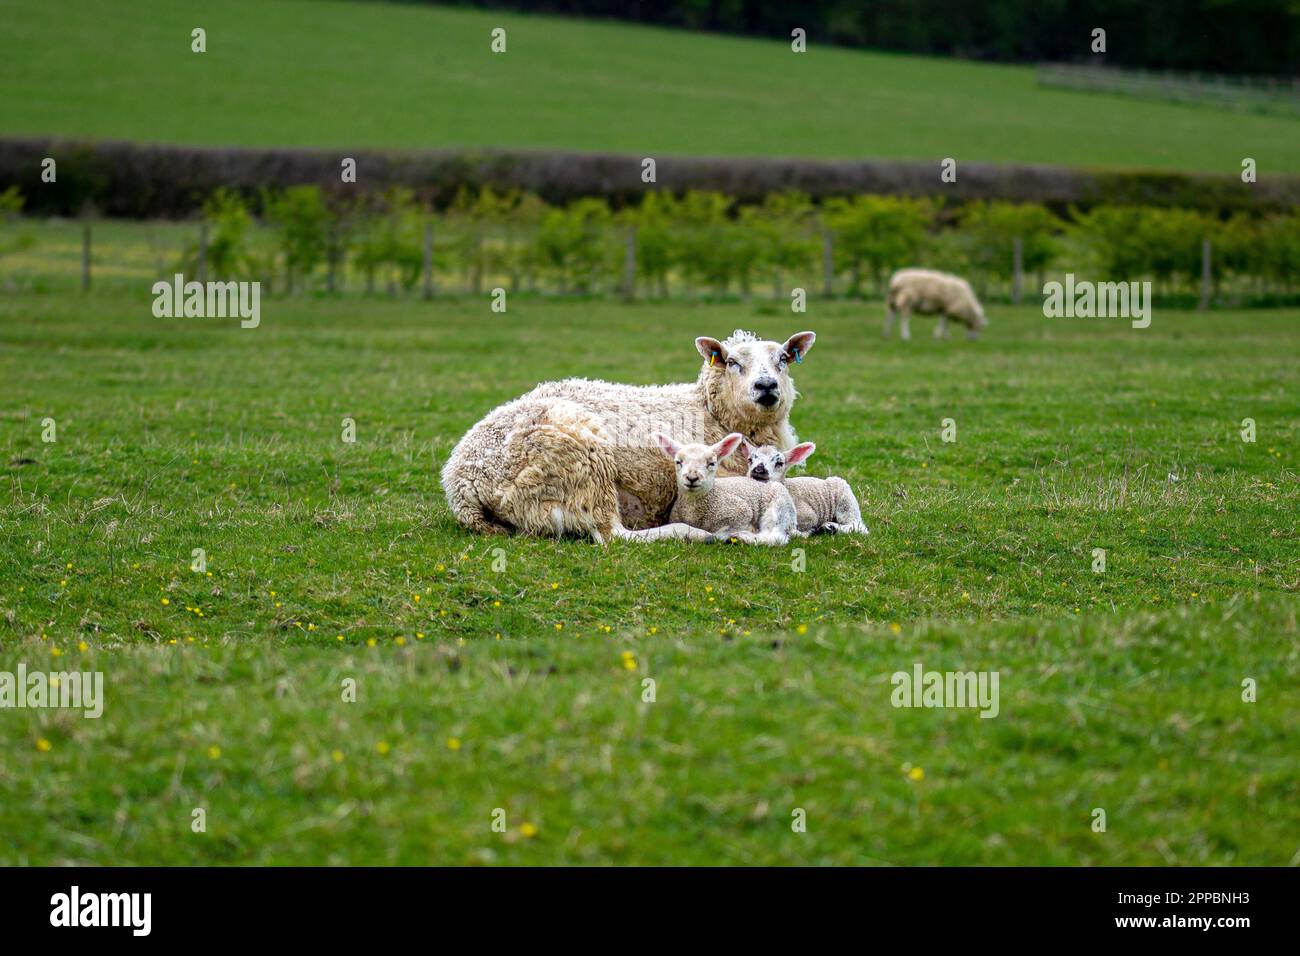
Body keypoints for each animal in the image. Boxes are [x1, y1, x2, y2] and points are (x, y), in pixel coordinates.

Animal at [653, 432, 798, 546]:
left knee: (776, 536)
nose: (692, 478)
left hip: (779, 507)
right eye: (678, 462)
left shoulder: (741, 514)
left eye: (712, 463)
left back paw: (742, 538)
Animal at [740, 439, 868, 536]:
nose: (758, 470)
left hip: (846, 501)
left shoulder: (809, 515)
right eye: (750, 460)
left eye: (780, 463)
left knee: (858, 525)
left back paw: (830, 527)